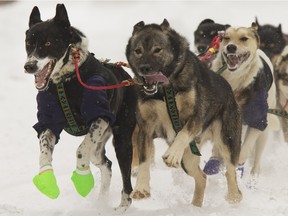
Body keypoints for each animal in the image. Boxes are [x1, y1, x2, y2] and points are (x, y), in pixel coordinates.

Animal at [24, 3, 137, 211]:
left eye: (48, 43)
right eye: (29, 43)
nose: (29, 66)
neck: (65, 81)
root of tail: (126, 76)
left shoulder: (100, 117)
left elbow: (81, 149)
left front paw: (82, 179)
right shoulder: (49, 123)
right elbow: (44, 151)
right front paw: (47, 179)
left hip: (122, 139)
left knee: (126, 181)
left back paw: (121, 208)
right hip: (100, 147)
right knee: (106, 164)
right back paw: (101, 203)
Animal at [126, 18, 243, 206]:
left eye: (157, 50)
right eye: (138, 51)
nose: (144, 68)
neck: (165, 90)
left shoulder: (196, 117)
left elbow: (183, 133)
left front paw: (172, 154)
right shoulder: (145, 128)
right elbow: (144, 160)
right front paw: (141, 188)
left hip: (226, 138)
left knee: (230, 171)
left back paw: (233, 197)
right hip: (188, 157)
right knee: (202, 178)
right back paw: (195, 206)